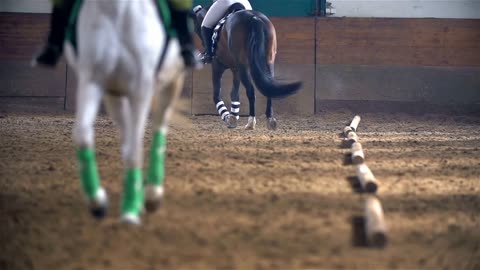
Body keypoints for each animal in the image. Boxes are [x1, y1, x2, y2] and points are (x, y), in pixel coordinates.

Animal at [63, 0, 184, 224]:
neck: (116, 10)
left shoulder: (141, 89)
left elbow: (135, 149)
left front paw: (130, 210)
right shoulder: (92, 81)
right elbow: (82, 133)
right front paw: (98, 202)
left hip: (171, 82)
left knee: (159, 127)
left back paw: (152, 193)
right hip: (115, 95)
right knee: (127, 135)